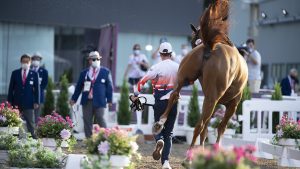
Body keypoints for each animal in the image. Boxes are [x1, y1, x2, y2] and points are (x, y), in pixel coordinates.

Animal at [154, 0, 247, 148]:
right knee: (200, 125)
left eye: (193, 40)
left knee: (174, 95)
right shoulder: (231, 104)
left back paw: (160, 122)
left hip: (185, 81)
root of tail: (210, 47)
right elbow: (220, 128)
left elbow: (208, 129)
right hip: (212, 100)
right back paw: (190, 152)